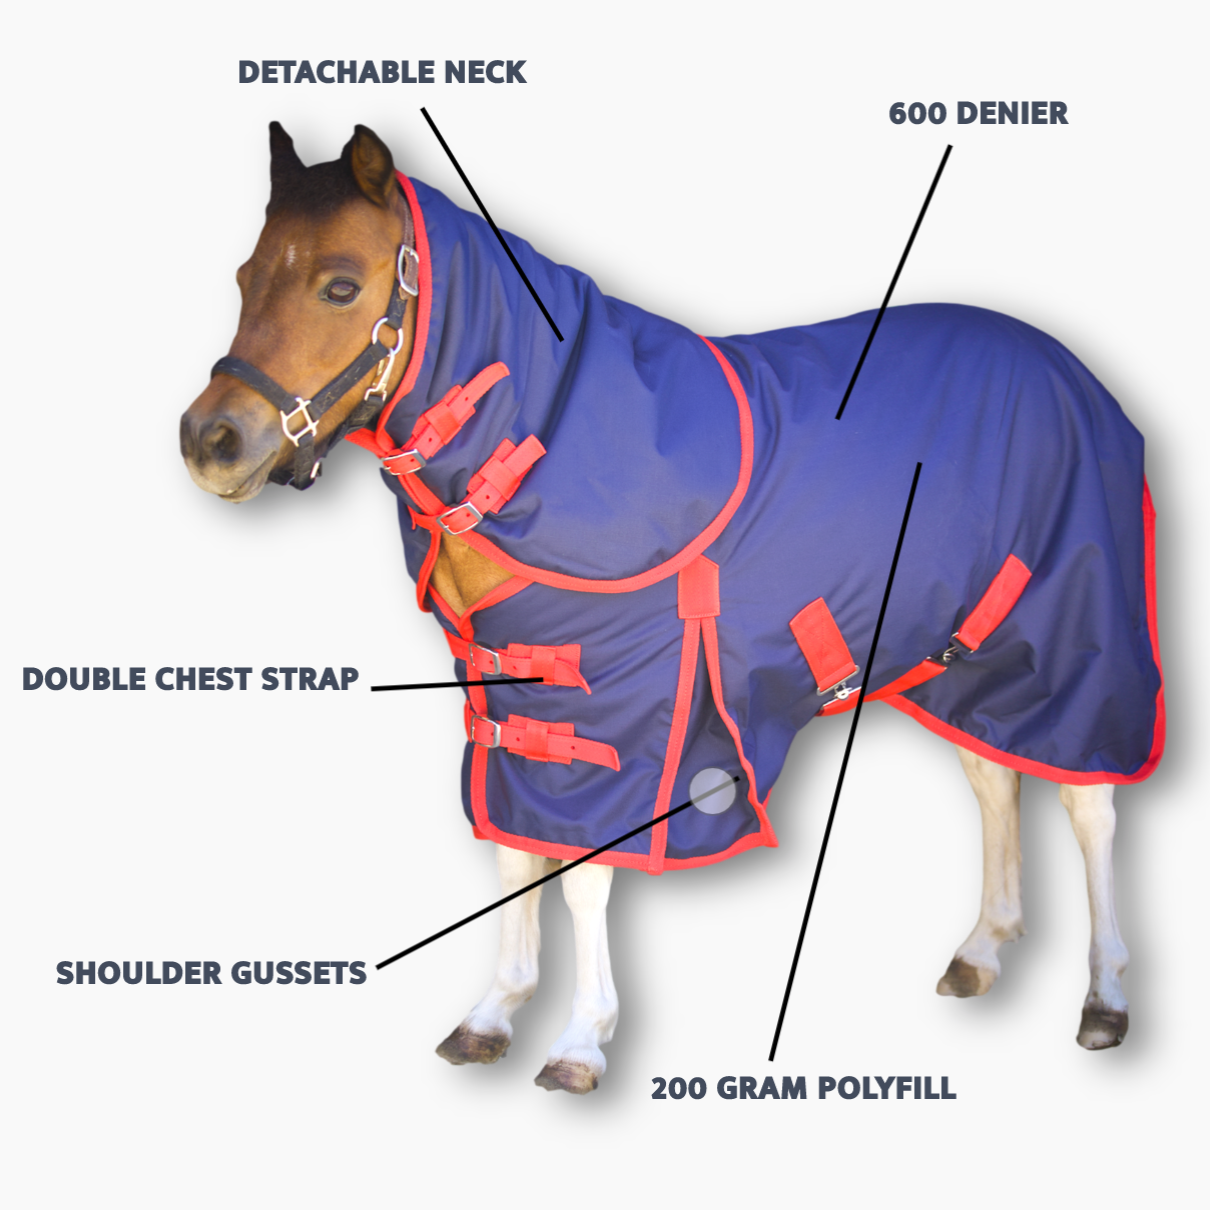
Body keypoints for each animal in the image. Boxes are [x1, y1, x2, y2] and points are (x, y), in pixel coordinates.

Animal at [180, 123, 1164, 1093]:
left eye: (341, 285)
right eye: (243, 277)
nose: (212, 442)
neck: (542, 444)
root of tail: (1067, 368)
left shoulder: (619, 713)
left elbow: (582, 870)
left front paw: (580, 1042)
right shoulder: (508, 696)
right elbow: (513, 848)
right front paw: (492, 1015)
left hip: (1074, 635)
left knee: (1088, 802)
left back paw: (1105, 998)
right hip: (963, 654)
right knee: (995, 773)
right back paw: (983, 950)